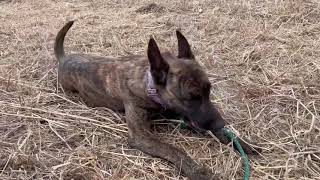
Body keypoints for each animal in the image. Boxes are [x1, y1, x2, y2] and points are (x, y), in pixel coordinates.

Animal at [54, 20, 260, 179]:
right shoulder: (141, 136)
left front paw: (238, 141)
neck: (150, 85)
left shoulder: (184, 116)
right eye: (191, 97)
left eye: (209, 90)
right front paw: (198, 171)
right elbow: (174, 150)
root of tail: (63, 58)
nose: (220, 123)